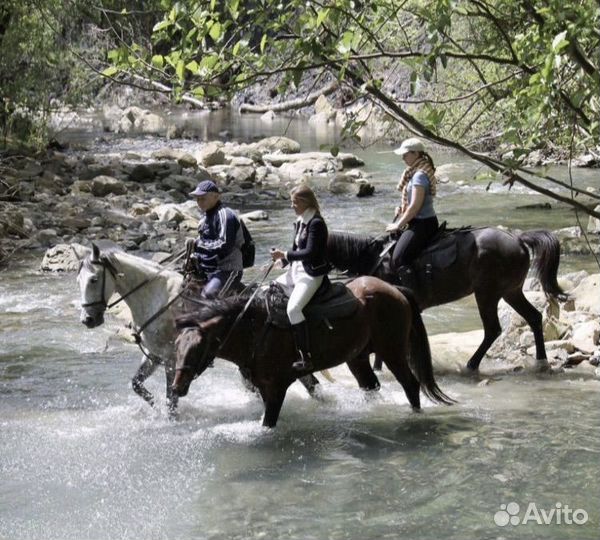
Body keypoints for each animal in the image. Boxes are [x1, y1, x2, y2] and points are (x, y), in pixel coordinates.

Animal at [173, 276, 454, 428]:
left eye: (198, 348)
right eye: (176, 346)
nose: (176, 387)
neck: (255, 329)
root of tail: (396, 290)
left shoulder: (275, 388)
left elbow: (269, 422)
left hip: (393, 351)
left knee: (411, 385)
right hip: (358, 357)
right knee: (371, 386)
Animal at [326, 227, 564, 372]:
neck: (374, 260)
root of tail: (518, 239)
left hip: (487, 293)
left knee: (493, 330)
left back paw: (471, 364)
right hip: (511, 292)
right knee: (534, 318)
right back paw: (541, 360)